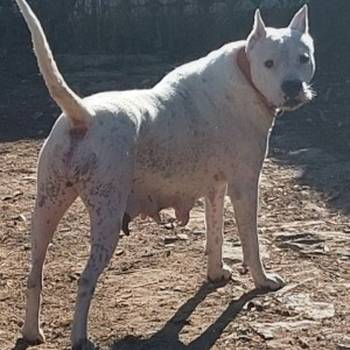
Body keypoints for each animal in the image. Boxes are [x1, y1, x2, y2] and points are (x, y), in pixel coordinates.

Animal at [13, 1, 316, 348]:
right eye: (269, 63)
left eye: (303, 58)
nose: (292, 86)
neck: (245, 74)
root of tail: (83, 116)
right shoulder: (244, 187)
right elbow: (250, 242)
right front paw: (262, 280)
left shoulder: (216, 188)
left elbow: (215, 233)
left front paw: (216, 273)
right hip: (106, 219)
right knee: (85, 279)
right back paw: (80, 338)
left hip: (46, 209)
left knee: (34, 274)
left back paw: (32, 331)